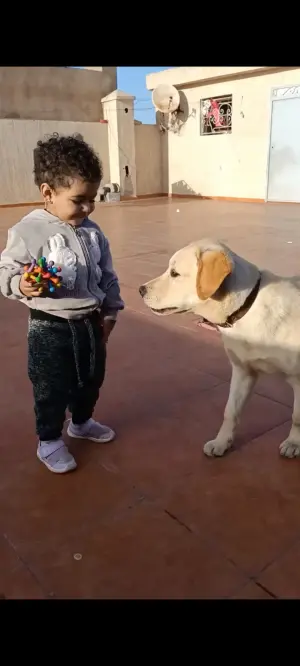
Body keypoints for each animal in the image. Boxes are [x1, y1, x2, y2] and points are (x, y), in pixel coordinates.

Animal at [139, 236, 300, 460]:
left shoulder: (298, 378)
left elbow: (297, 416)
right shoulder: (243, 371)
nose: (141, 290)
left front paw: (294, 442)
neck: (248, 307)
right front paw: (222, 442)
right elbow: (230, 412)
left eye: (174, 273)